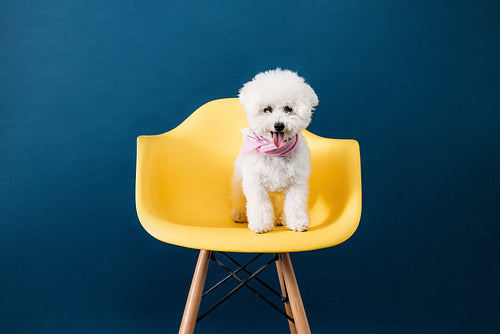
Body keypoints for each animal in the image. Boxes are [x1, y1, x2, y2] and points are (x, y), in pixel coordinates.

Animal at [231, 69, 318, 234]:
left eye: (288, 109)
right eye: (267, 109)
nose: (278, 125)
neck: (275, 152)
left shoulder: (296, 183)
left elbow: (295, 204)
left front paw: (297, 222)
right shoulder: (255, 182)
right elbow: (259, 204)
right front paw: (260, 224)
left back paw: (279, 218)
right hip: (239, 180)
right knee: (238, 197)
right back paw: (239, 214)